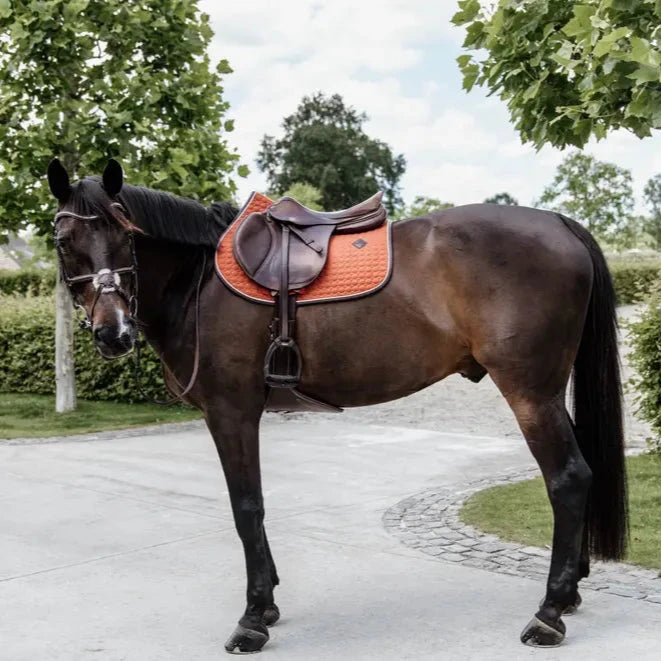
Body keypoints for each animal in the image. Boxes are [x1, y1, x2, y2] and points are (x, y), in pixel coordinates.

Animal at [46, 157, 624, 652]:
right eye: (64, 241)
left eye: (126, 235)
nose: (113, 333)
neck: (200, 283)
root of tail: (558, 223)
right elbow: (253, 506)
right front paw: (268, 603)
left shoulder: (231, 410)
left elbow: (246, 506)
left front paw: (252, 619)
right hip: (549, 392)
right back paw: (570, 594)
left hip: (530, 393)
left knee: (568, 478)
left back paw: (548, 614)